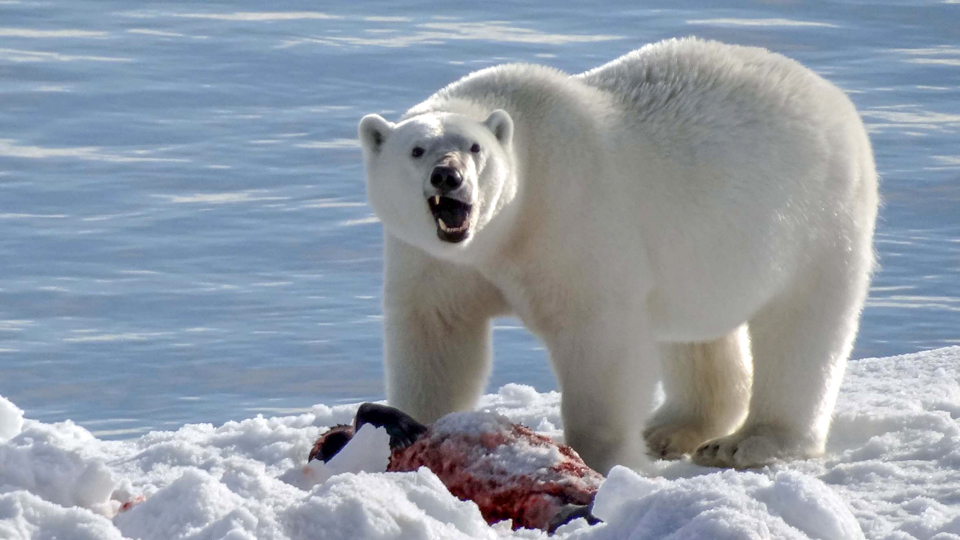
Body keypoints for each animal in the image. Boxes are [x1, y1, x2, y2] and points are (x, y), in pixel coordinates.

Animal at [358, 37, 876, 472]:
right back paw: (671, 429)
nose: (448, 176)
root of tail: (832, 97)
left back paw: (748, 442)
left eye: (474, 148)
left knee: (801, 327)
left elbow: (597, 338)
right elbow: (437, 333)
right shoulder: (433, 259)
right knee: (694, 332)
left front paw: (602, 460)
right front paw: (410, 428)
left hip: (816, 219)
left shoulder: (572, 216)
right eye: (416, 149)